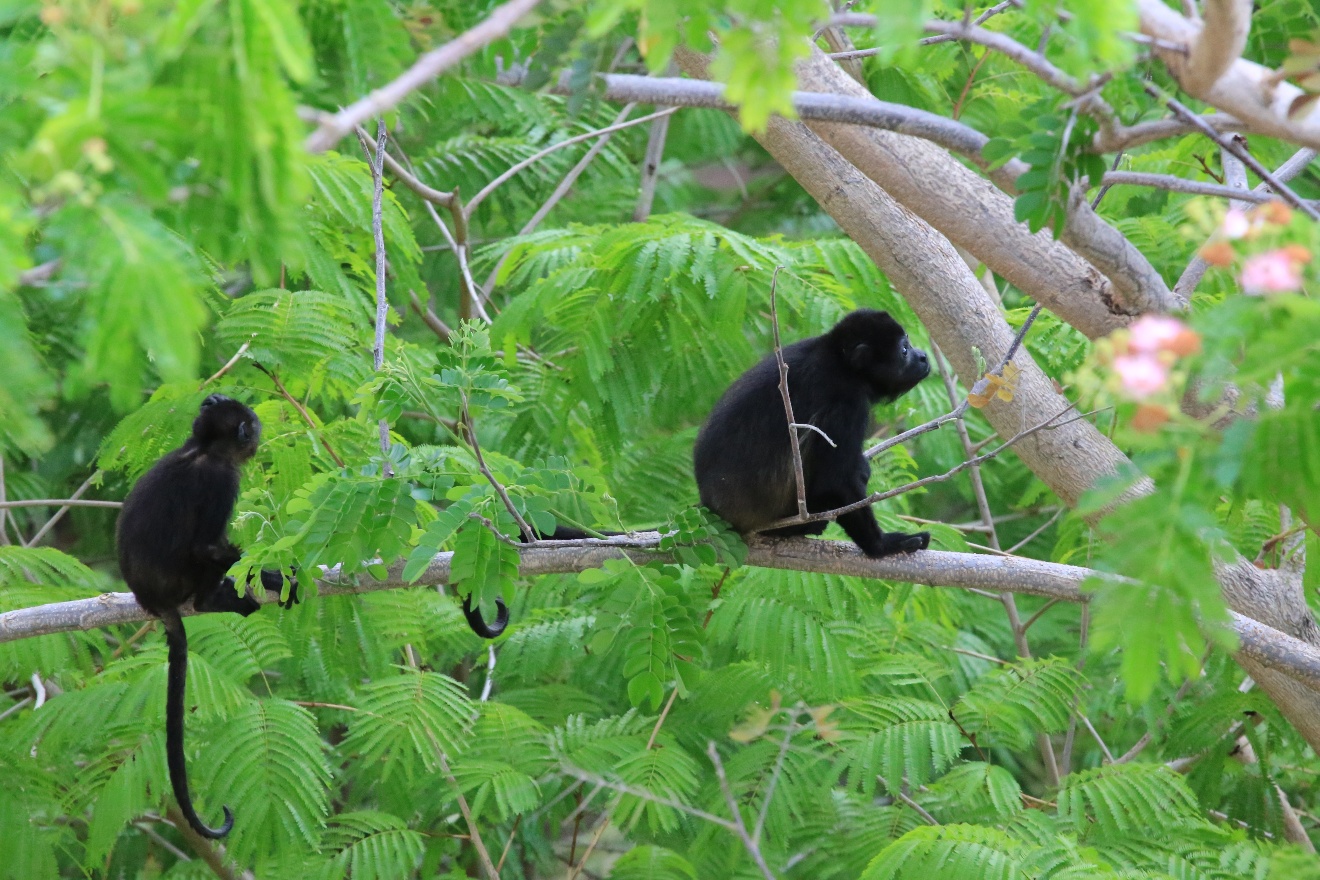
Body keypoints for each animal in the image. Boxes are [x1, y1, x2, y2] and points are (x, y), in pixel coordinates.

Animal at [116, 394, 297, 839]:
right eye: (252, 424)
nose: (257, 434)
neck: (201, 447)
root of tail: (154, 601)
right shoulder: (222, 480)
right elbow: (206, 547)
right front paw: (272, 576)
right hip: (183, 581)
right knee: (203, 563)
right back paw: (213, 599)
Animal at [694, 309, 932, 557]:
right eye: (904, 350)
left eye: (909, 344)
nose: (923, 356)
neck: (842, 363)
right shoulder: (847, 404)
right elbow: (835, 483)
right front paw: (883, 545)